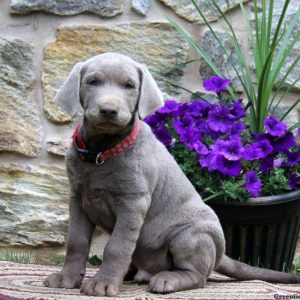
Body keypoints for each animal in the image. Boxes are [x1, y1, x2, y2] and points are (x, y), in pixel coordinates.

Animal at [44, 52, 300, 296]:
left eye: (129, 86)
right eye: (92, 82)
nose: (108, 110)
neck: (101, 152)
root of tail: (221, 253)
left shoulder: (133, 203)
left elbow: (116, 246)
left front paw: (103, 284)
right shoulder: (79, 199)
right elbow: (76, 242)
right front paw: (67, 279)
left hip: (190, 235)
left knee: (198, 276)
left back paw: (167, 279)